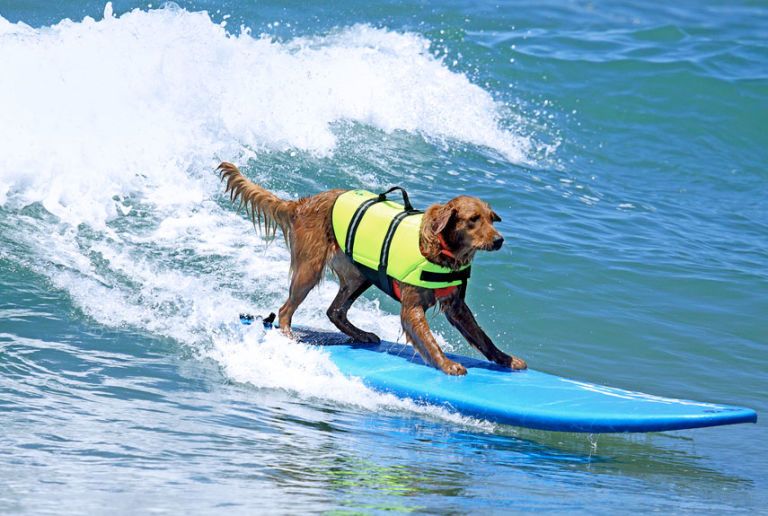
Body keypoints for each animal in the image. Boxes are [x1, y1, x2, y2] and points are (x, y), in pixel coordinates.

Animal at [219, 161, 524, 374]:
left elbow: (482, 337)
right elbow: (429, 340)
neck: (441, 249)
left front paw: (506, 359)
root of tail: (302, 203)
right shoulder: (412, 308)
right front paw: (448, 364)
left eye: (491, 219)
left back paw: (361, 335)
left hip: (358, 275)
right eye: (473, 219)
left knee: (335, 311)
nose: (499, 240)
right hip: (310, 269)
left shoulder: (457, 306)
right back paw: (289, 336)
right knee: (285, 310)